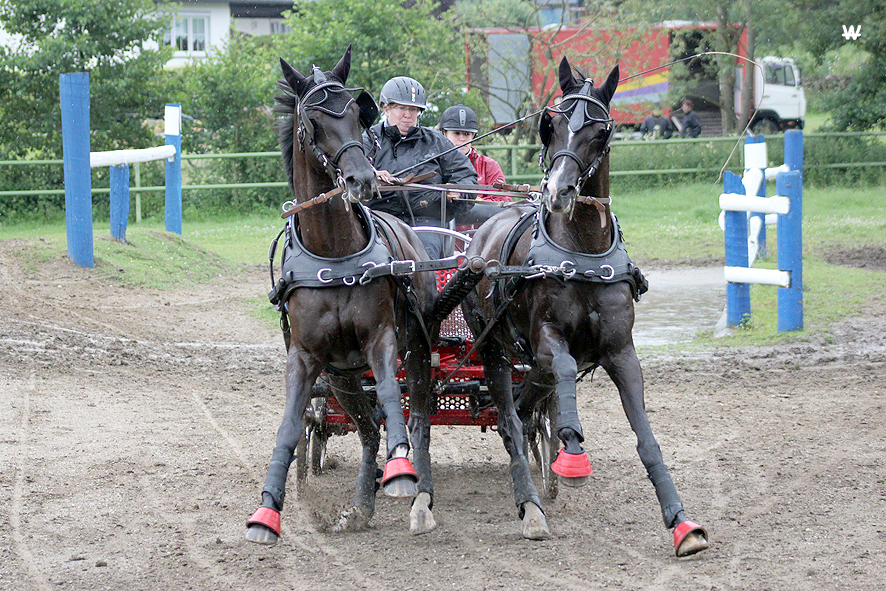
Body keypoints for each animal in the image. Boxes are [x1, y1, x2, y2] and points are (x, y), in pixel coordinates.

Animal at [245, 47, 438, 544]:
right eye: (313, 120)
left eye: (355, 114)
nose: (363, 180)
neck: (332, 253)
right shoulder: (306, 356)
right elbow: (290, 426)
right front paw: (268, 509)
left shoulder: (382, 338)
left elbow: (389, 392)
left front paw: (401, 471)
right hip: (342, 378)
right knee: (368, 429)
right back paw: (362, 504)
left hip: (418, 349)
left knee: (418, 420)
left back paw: (420, 494)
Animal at [462, 55, 712, 556]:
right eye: (552, 125)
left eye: (600, 130)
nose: (557, 193)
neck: (584, 254)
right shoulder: (547, 339)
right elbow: (559, 369)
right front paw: (573, 456)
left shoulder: (621, 351)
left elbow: (646, 436)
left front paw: (680, 522)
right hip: (493, 348)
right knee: (510, 420)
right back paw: (531, 505)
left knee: (527, 407)